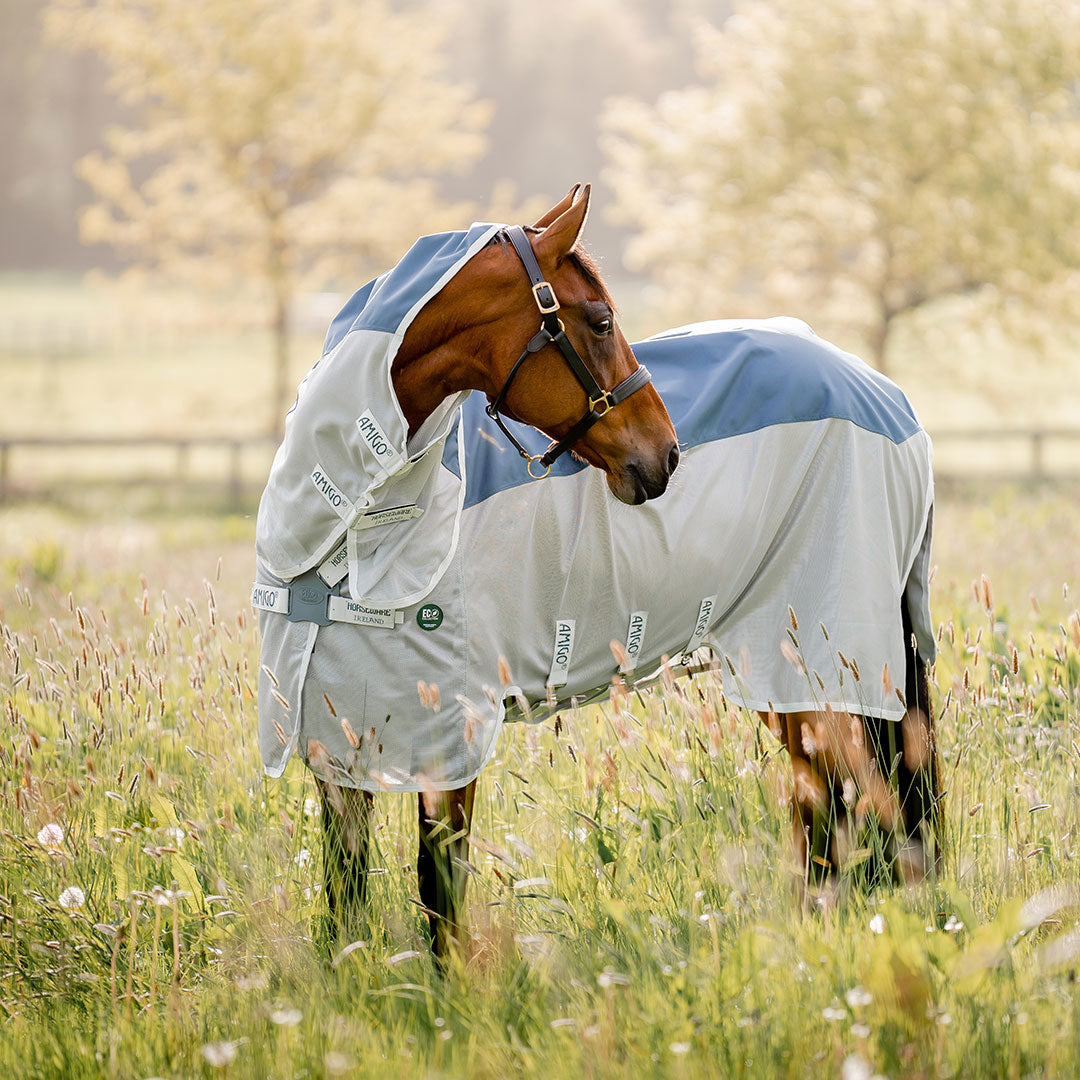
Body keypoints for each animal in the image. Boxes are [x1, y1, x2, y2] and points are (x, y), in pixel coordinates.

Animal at [252, 185, 937, 963]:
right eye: (601, 320)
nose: (666, 455)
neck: (350, 530)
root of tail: (890, 402)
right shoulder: (335, 743)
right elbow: (345, 885)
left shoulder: (451, 738)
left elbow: (439, 887)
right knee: (829, 808)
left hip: (815, 664)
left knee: (841, 802)